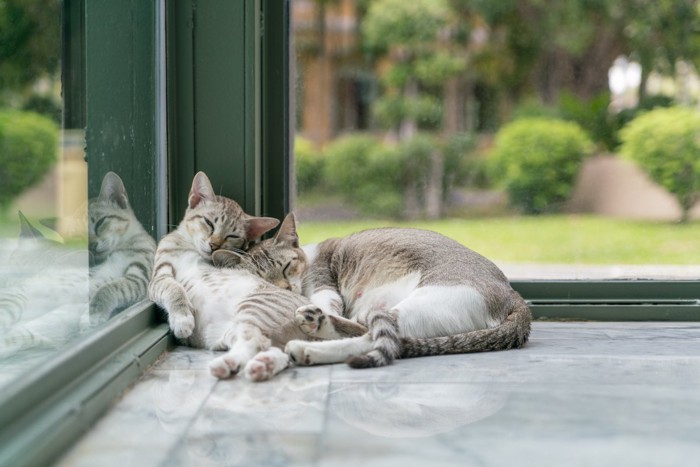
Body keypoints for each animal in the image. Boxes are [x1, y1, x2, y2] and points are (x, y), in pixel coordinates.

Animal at [148, 174, 366, 382]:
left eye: (232, 236)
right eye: (208, 223)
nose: (214, 245)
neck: (191, 249)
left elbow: (174, 289)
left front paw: (182, 321)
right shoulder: (160, 274)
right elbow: (173, 288)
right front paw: (182, 319)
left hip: (251, 311)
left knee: (256, 342)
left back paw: (231, 364)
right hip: (234, 331)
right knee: (274, 349)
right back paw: (264, 364)